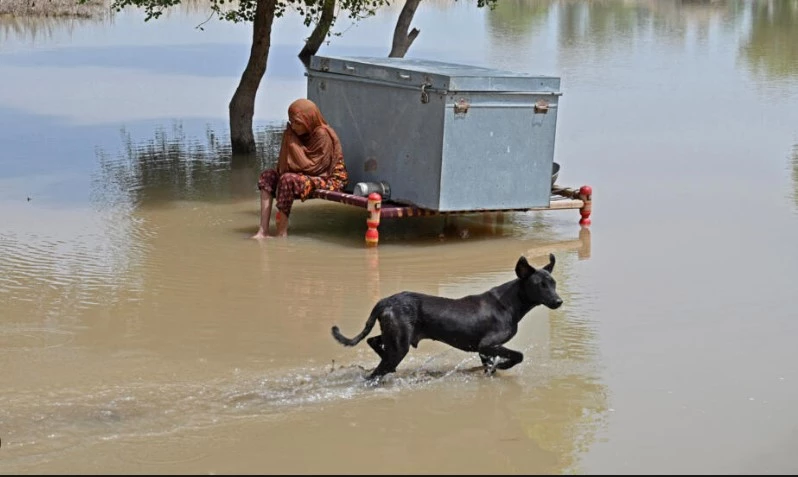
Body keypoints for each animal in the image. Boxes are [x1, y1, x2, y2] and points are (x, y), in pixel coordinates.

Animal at [332, 253, 564, 380]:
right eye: (540, 285)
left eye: (553, 283)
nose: (559, 301)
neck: (509, 303)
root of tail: (385, 301)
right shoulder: (487, 344)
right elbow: (518, 355)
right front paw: (503, 365)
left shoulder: (484, 350)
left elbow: (489, 367)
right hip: (400, 345)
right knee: (376, 372)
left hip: (394, 336)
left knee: (373, 342)